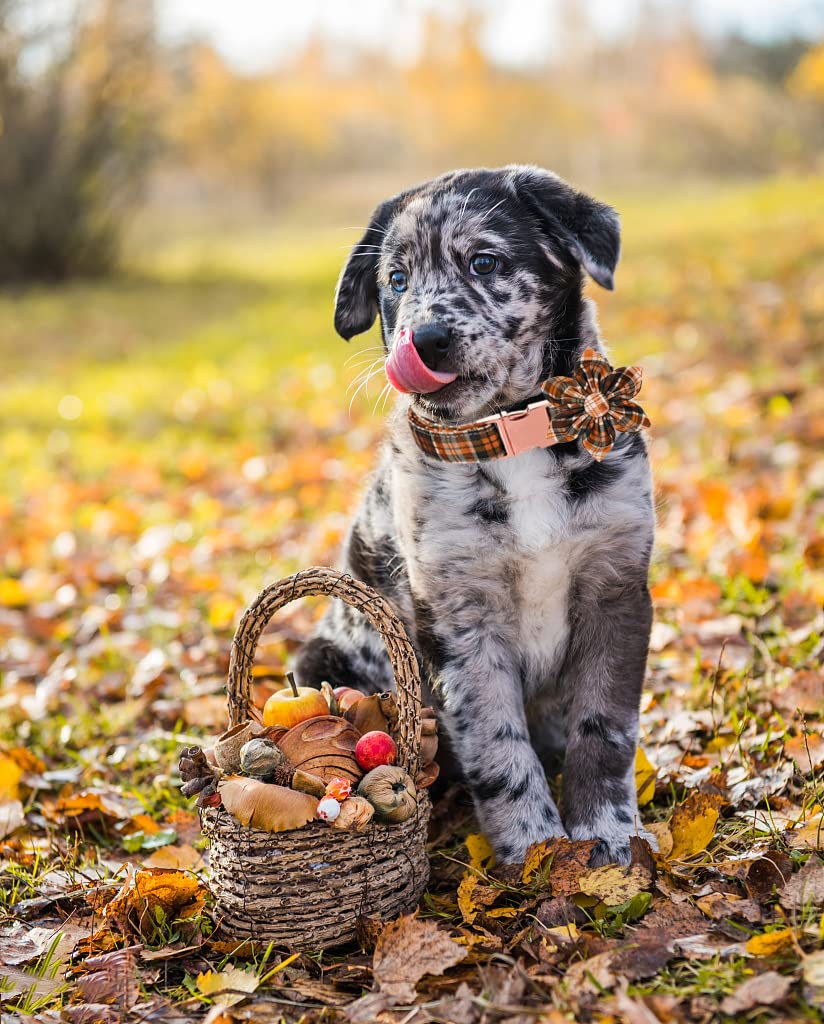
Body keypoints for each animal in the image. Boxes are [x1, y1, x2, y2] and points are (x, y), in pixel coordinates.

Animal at [294, 165, 655, 864]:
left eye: (484, 262)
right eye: (396, 279)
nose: (424, 340)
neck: (511, 439)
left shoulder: (617, 586)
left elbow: (605, 730)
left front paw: (606, 836)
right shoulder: (459, 620)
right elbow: (497, 745)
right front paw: (536, 852)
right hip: (320, 662)